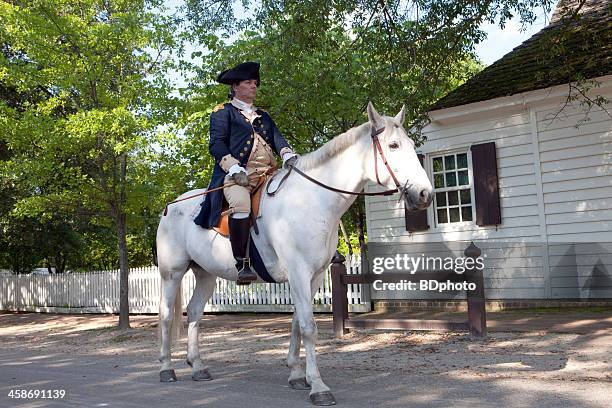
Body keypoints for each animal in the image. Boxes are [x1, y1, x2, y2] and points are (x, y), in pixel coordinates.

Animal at [155, 102, 432, 404]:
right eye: (393, 145)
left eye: (411, 144)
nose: (425, 194)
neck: (312, 199)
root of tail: (170, 206)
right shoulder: (299, 273)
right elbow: (309, 326)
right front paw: (318, 386)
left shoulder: (315, 276)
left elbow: (298, 323)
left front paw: (297, 375)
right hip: (172, 274)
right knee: (166, 315)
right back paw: (166, 369)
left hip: (205, 274)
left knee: (194, 312)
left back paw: (197, 366)